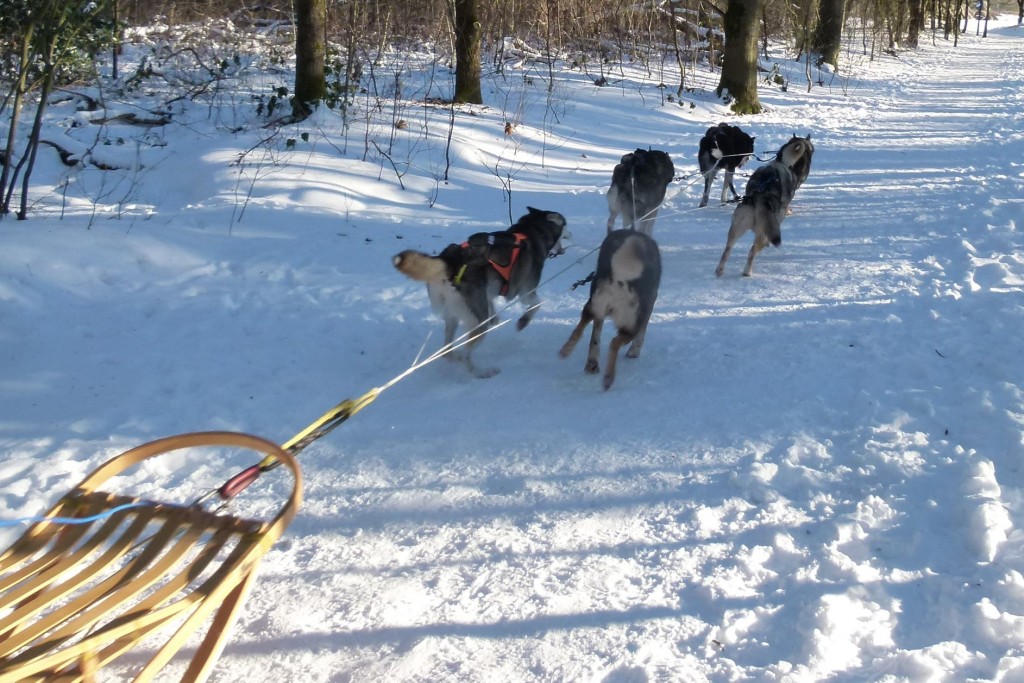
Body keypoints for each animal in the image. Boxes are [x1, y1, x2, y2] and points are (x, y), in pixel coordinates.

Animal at [391, 208, 569, 378]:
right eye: (565, 224)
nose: (570, 235)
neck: (531, 230)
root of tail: (450, 260)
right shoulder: (526, 292)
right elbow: (537, 304)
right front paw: (523, 321)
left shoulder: (488, 293)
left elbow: (493, 307)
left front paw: (496, 318)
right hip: (478, 323)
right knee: (465, 355)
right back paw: (483, 372)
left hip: (454, 316)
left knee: (446, 351)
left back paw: (455, 356)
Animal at [561, 229, 663, 389]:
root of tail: (620, 280)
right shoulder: (650, 303)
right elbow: (641, 334)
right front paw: (634, 352)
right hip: (630, 324)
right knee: (614, 342)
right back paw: (609, 378)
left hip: (594, 304)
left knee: (588, 330)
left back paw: (572, 353)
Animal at [712, 136, 815, 278]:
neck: (782, 162)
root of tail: (757, 197)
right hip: (762, 232)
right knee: (752, 250)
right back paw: (747, 272)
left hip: (736, 230)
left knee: (727, 250)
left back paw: (720, 270)